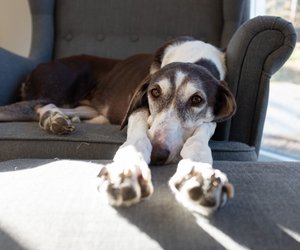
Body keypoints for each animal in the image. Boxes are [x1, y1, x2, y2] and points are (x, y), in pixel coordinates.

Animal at [0, 36, 237, 216]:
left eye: (197, 100)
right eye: (155, 92)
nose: (158, 154)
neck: (191, 56)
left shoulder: (210, 118)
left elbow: (200, 136)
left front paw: (200, 174)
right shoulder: (137, 108)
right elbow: (137, 137)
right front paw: (127, 170)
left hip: (88, 108)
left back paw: (59, 119)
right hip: (56, 91)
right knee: (35, 105)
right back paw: (52, 119)